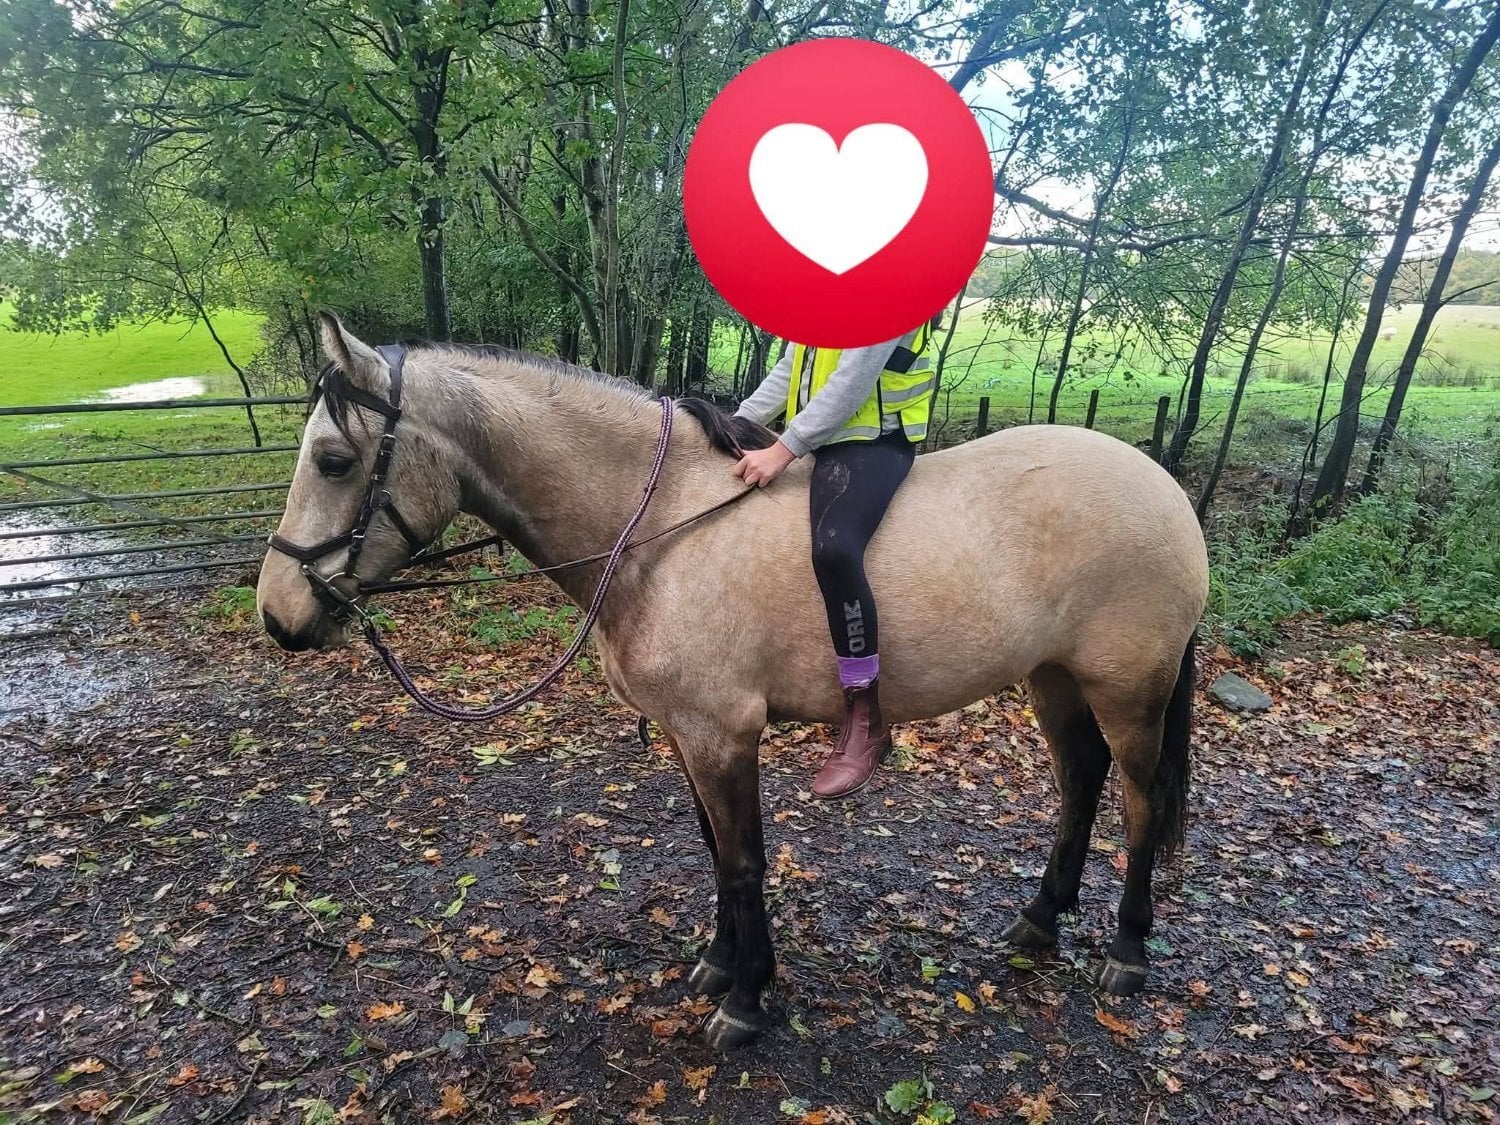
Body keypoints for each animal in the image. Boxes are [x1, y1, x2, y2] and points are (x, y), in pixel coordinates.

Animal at [256, 314, 1209, 1051]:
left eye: (334, 460)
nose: (277, 615)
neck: (665, 529)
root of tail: (1164, 486)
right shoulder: (689, 734)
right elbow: (716, 852)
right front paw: (722, 965)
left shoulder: (724, 734)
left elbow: (745, 860)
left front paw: (747, 1004)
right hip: (1054, 679)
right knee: (1080, 782)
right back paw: (1040, 920)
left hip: (1129, 690)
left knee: (1137, 800)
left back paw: (1127, 950)